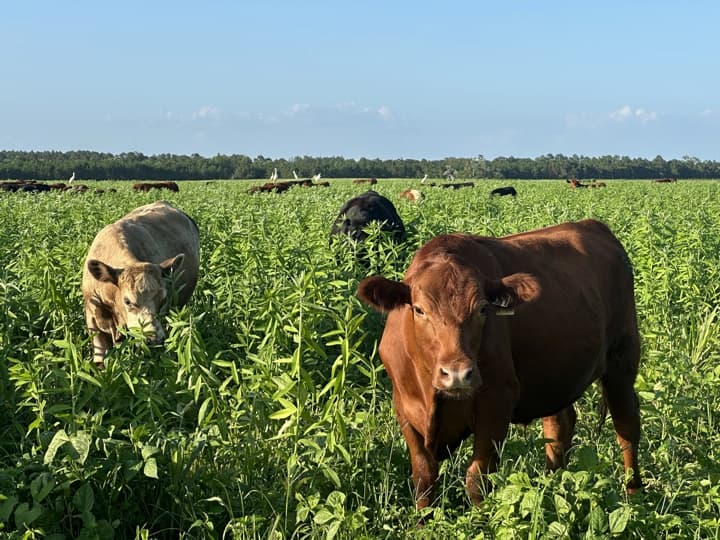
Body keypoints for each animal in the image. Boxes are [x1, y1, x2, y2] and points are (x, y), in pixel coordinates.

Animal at [357, 219, 641, 509]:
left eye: (483, 309)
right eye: (419, 309)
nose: (457, 374)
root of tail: (594, 226)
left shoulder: (497, 401)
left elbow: (478, 479)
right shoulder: (404, 406)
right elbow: (424, 478)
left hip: (622, 359)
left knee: (627, 428)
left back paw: (634, 498)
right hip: (555, 375)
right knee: (559, 427)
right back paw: (552, 487)